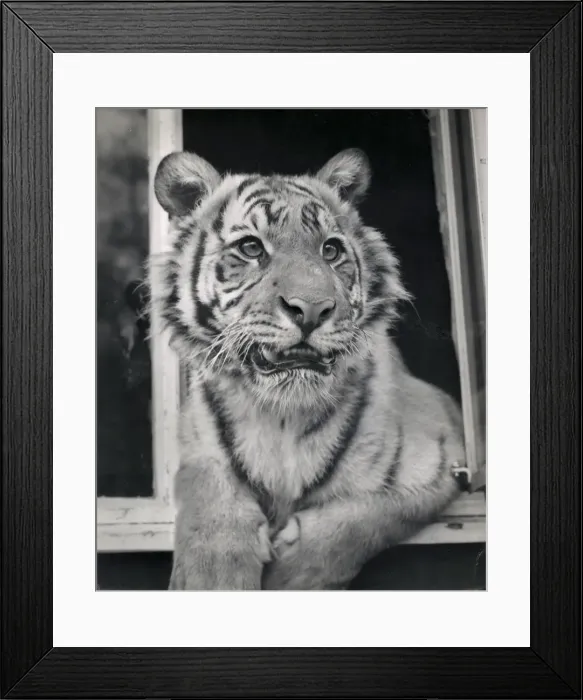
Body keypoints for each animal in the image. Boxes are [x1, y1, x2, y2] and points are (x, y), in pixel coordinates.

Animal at [150, 147, 465, 590]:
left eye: (330, 251)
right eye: (251, 248)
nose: (312, 309)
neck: (283, 416)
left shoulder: (444, 455)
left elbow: (366, 518)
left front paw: (292, 572)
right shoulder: (201, 449)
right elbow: (210, 510)